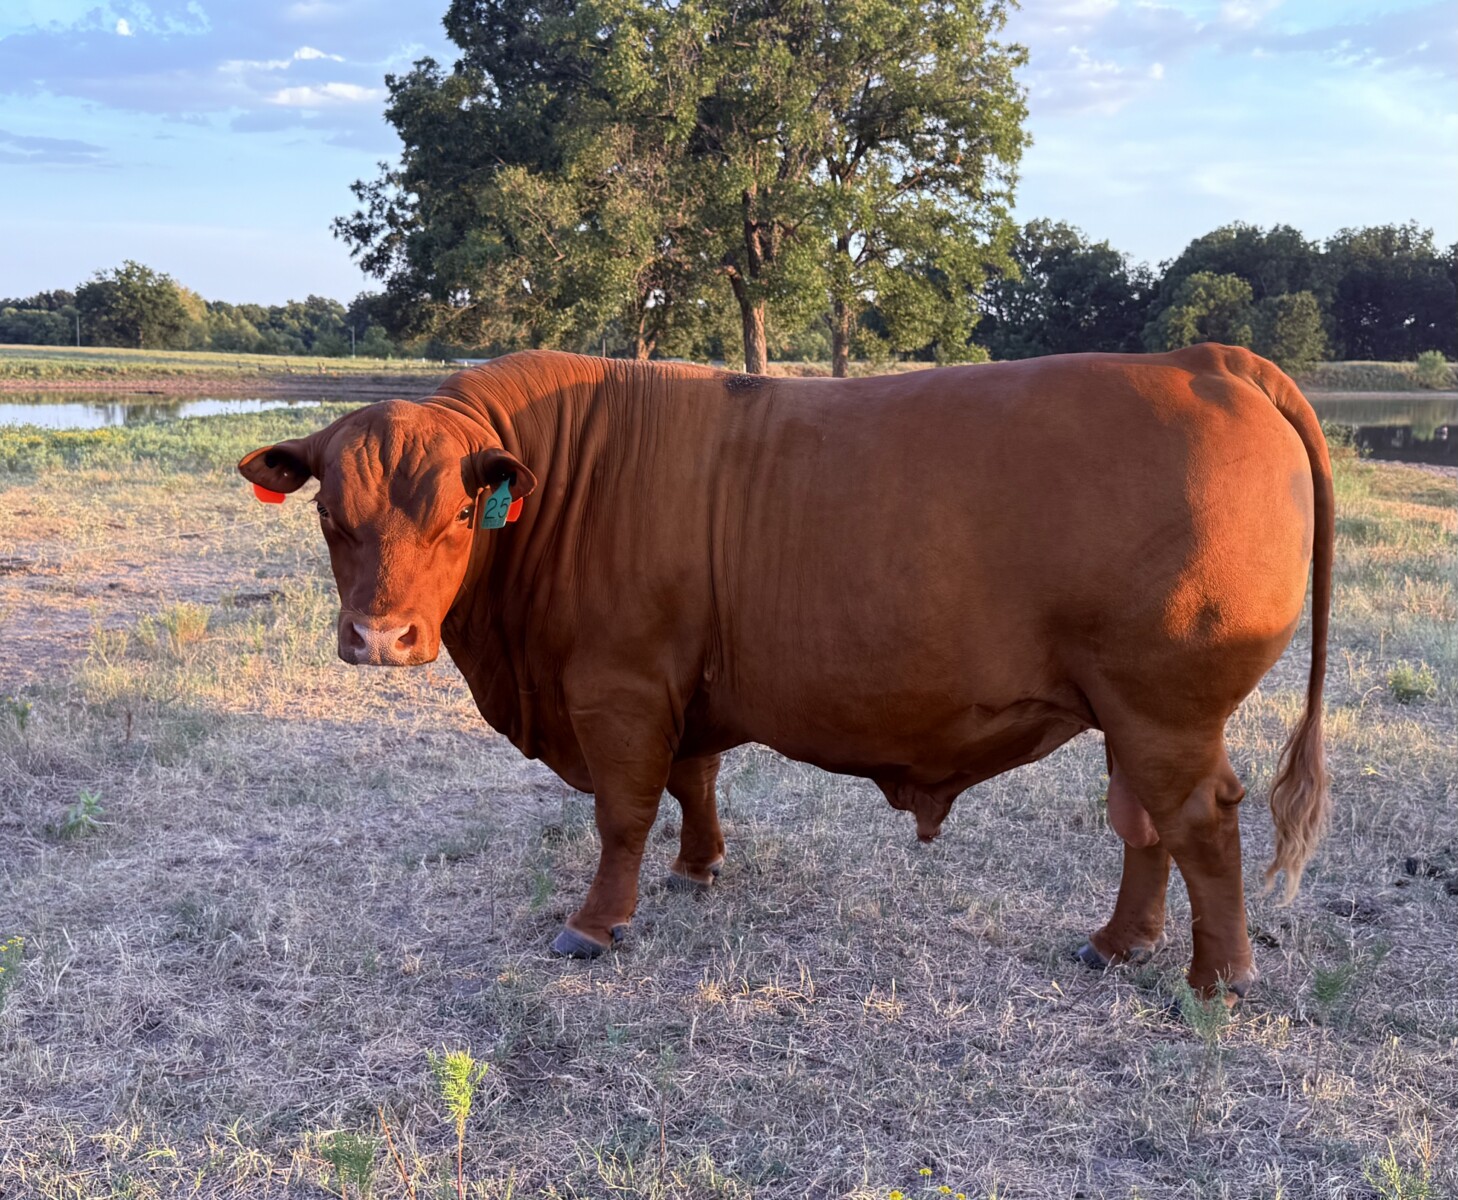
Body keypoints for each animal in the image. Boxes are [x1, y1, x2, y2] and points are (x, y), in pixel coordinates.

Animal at [239, 344, 1332, 999]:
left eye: (462, 514)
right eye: (331, 516)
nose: (381, 637)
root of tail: (1201, 359)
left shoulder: (618, 687)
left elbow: (623, 812)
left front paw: (596, 923)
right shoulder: (682, 687)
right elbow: (694, 780)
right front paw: (698, 868)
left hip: (1165, 705)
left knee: (1200, 821)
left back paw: (1217, 978)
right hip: (1127, 710)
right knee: (1142, 824)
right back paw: (1119, 942)